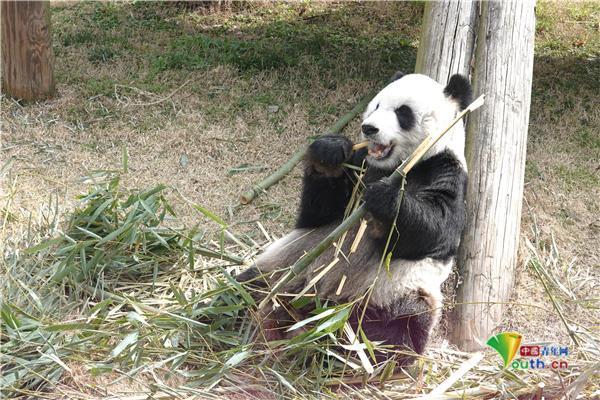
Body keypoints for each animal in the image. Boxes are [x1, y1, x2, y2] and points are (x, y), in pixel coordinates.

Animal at [239, 72, 474, 366]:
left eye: (403, 113)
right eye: (376, 105)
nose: (369, 128)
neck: (395, 166)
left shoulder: (445, 170)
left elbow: (435, 232)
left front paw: (385, 199)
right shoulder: (361, 165)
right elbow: (317, 216)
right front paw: (329, 153)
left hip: (390, 294)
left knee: (400, 326)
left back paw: (332, 348)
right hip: (285, 269)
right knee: (246, 288)